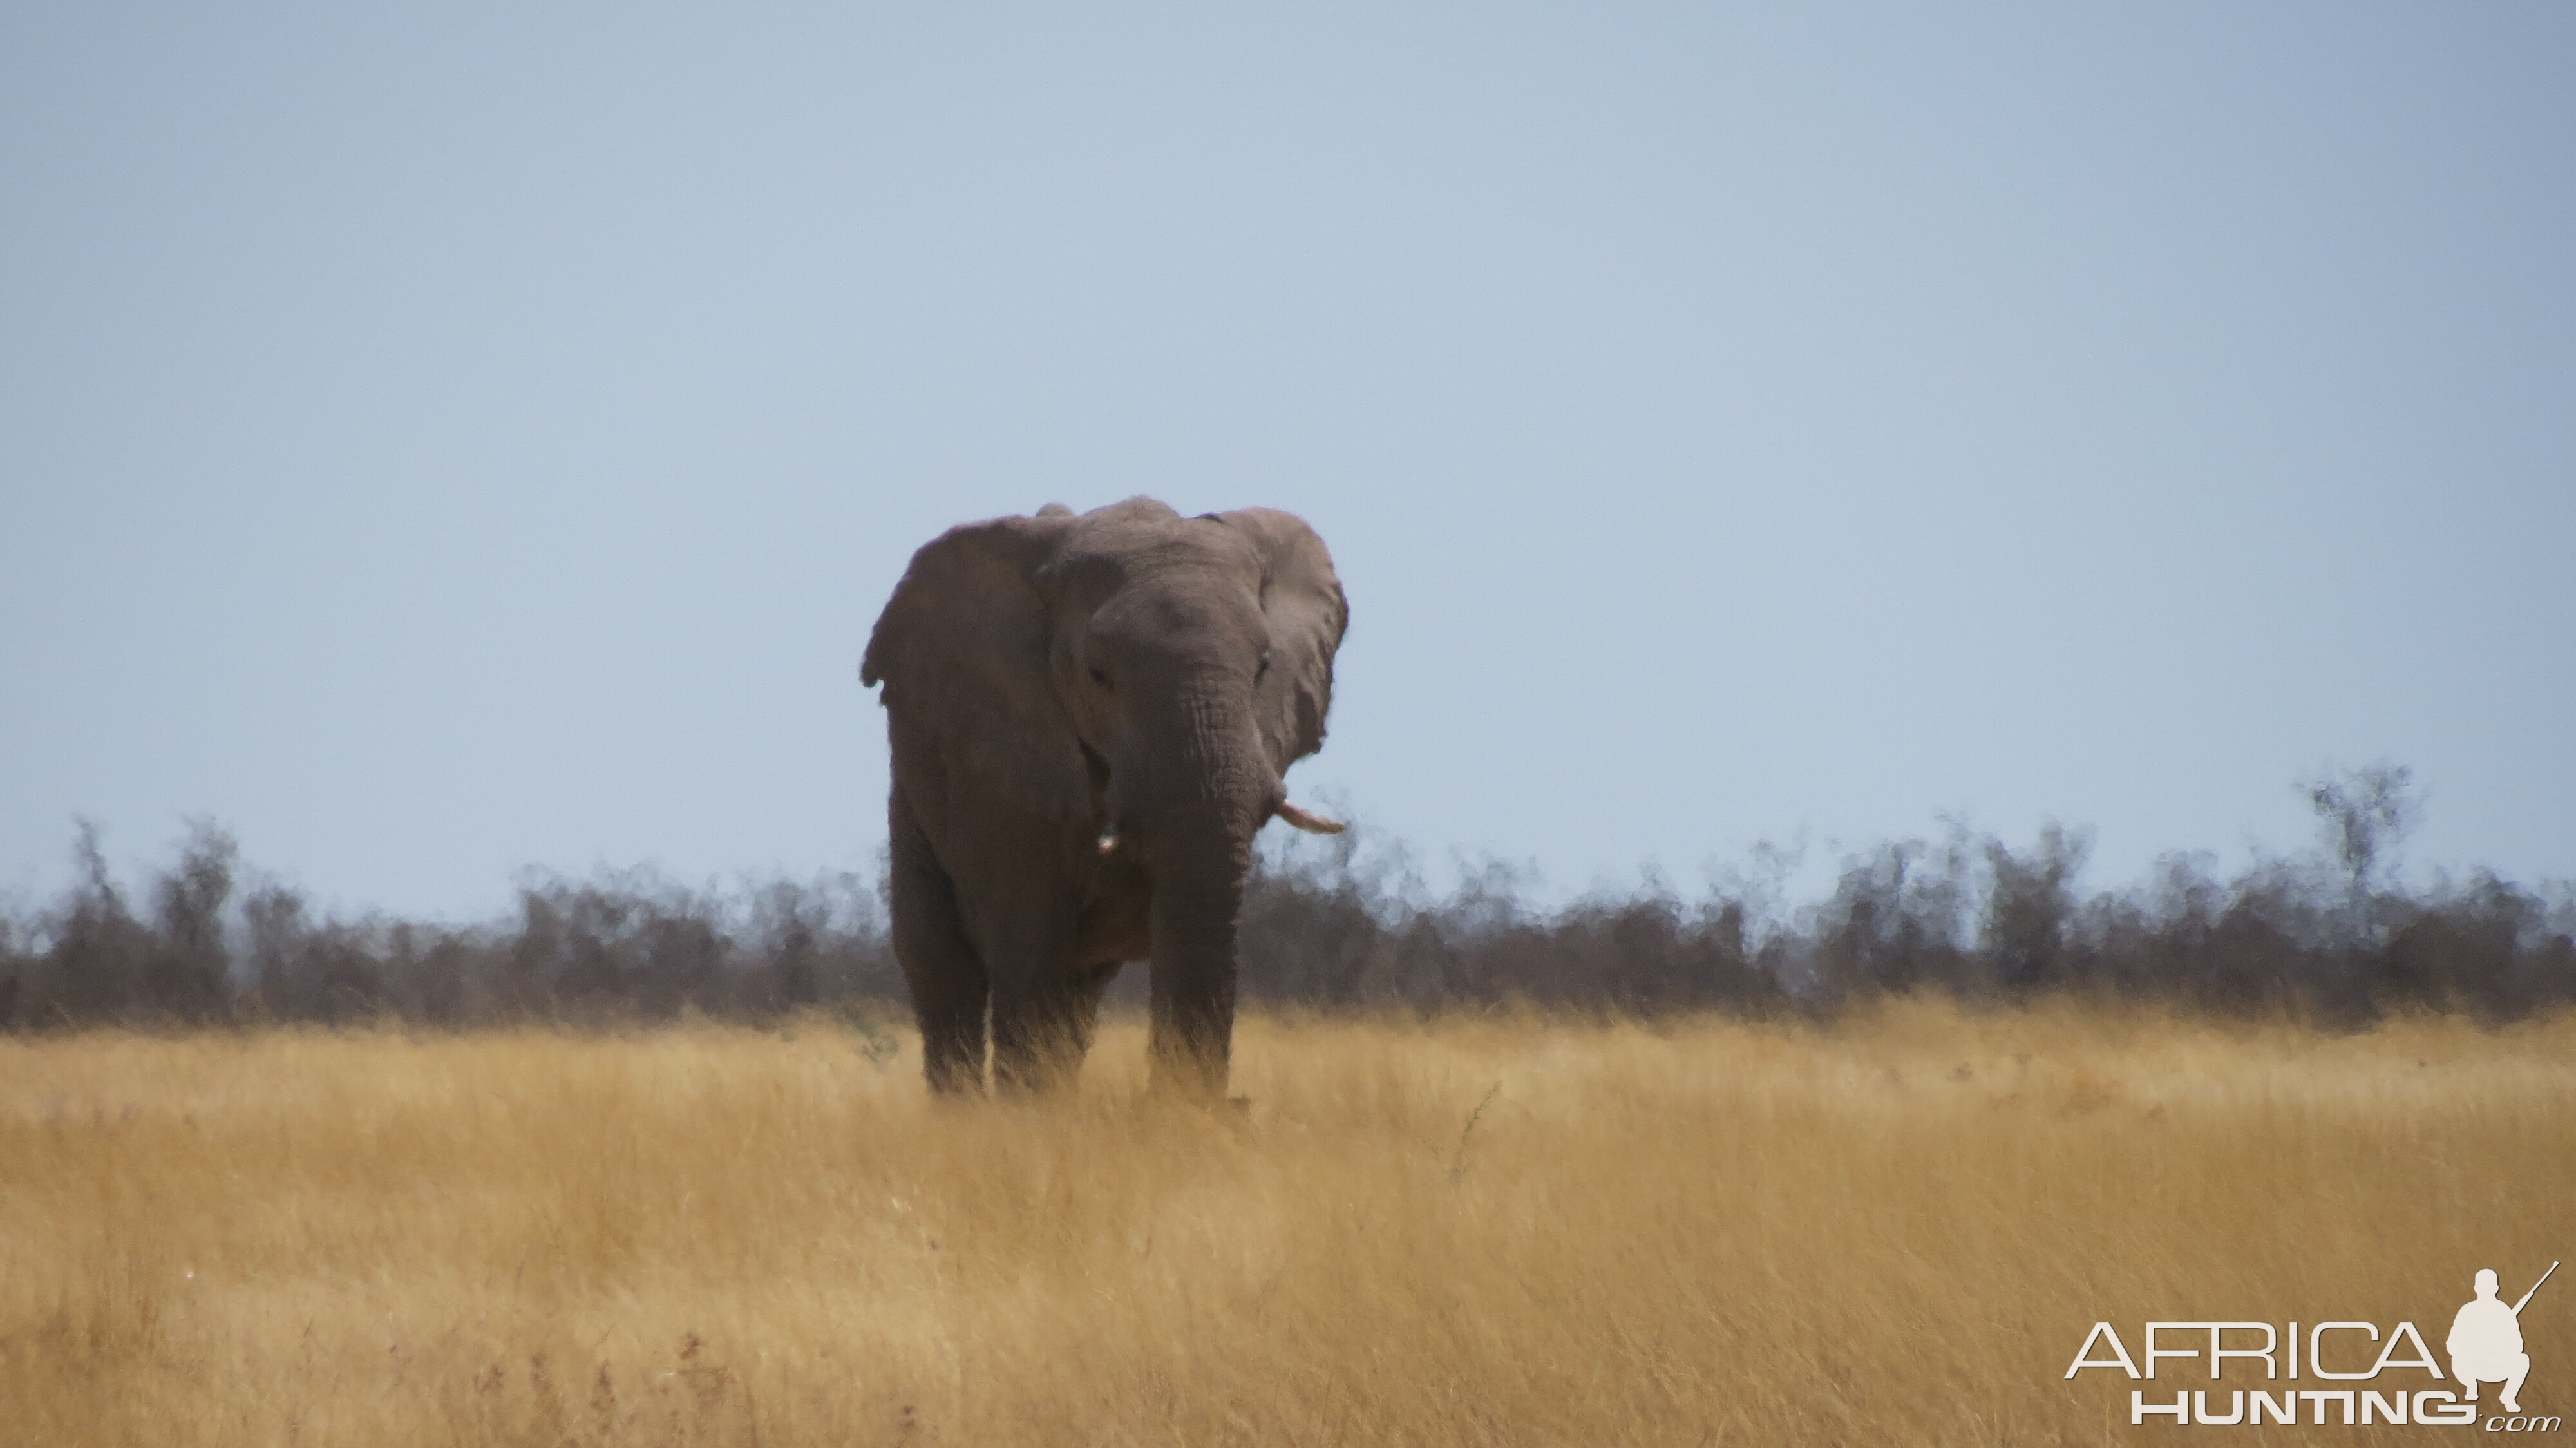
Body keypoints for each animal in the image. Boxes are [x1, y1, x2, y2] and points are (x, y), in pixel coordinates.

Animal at [860, 495, 1350, 1092]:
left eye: (1263, 669)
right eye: (1098, 675)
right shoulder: (1004, 763)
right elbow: (1029, 953)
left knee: (1076, 993)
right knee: (943, 965)